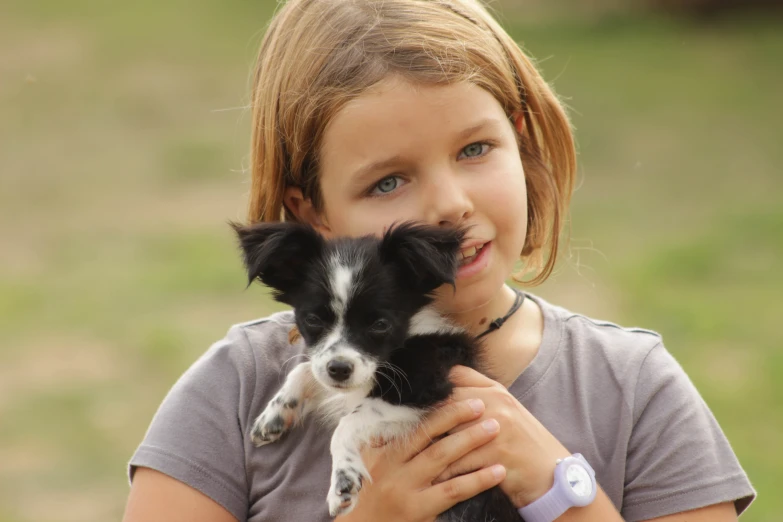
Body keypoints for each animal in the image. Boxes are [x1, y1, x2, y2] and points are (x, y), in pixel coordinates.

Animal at [230, 220, 524, 520]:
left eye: (380, 324)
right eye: (312, 319)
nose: (339, 370)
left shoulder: (418, 386)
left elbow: (347, 423)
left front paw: (343, 479)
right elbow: (305, 369)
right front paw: (274, 415)